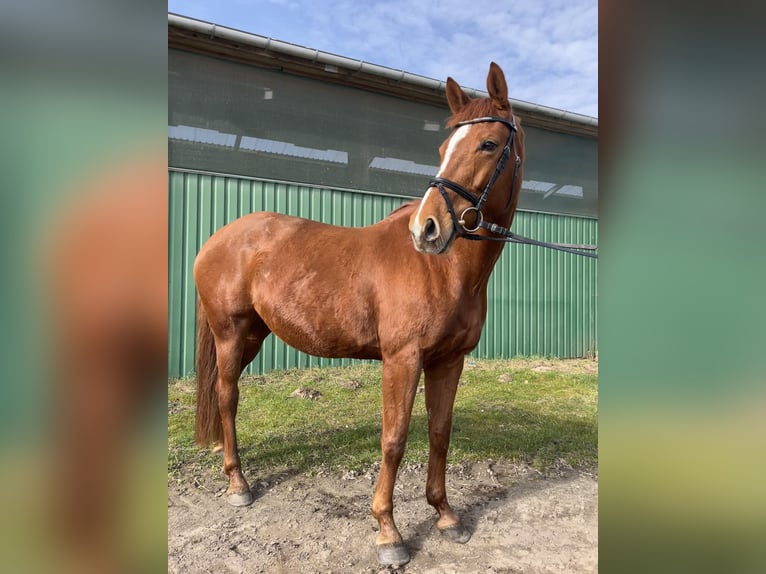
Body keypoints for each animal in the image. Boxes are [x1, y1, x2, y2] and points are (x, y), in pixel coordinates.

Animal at [193, 62, 525, 567]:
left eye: (487, 144)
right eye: (443, 149)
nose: (427, 229)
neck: (444, 269)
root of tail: (216, 240)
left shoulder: (449, 360)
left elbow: (440, 432)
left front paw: (446, 516)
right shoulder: (402, 359)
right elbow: (394, 439)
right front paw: (389, 533)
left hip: (252, 336)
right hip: (230, 334)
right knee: (227, 396)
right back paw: (238, 483)